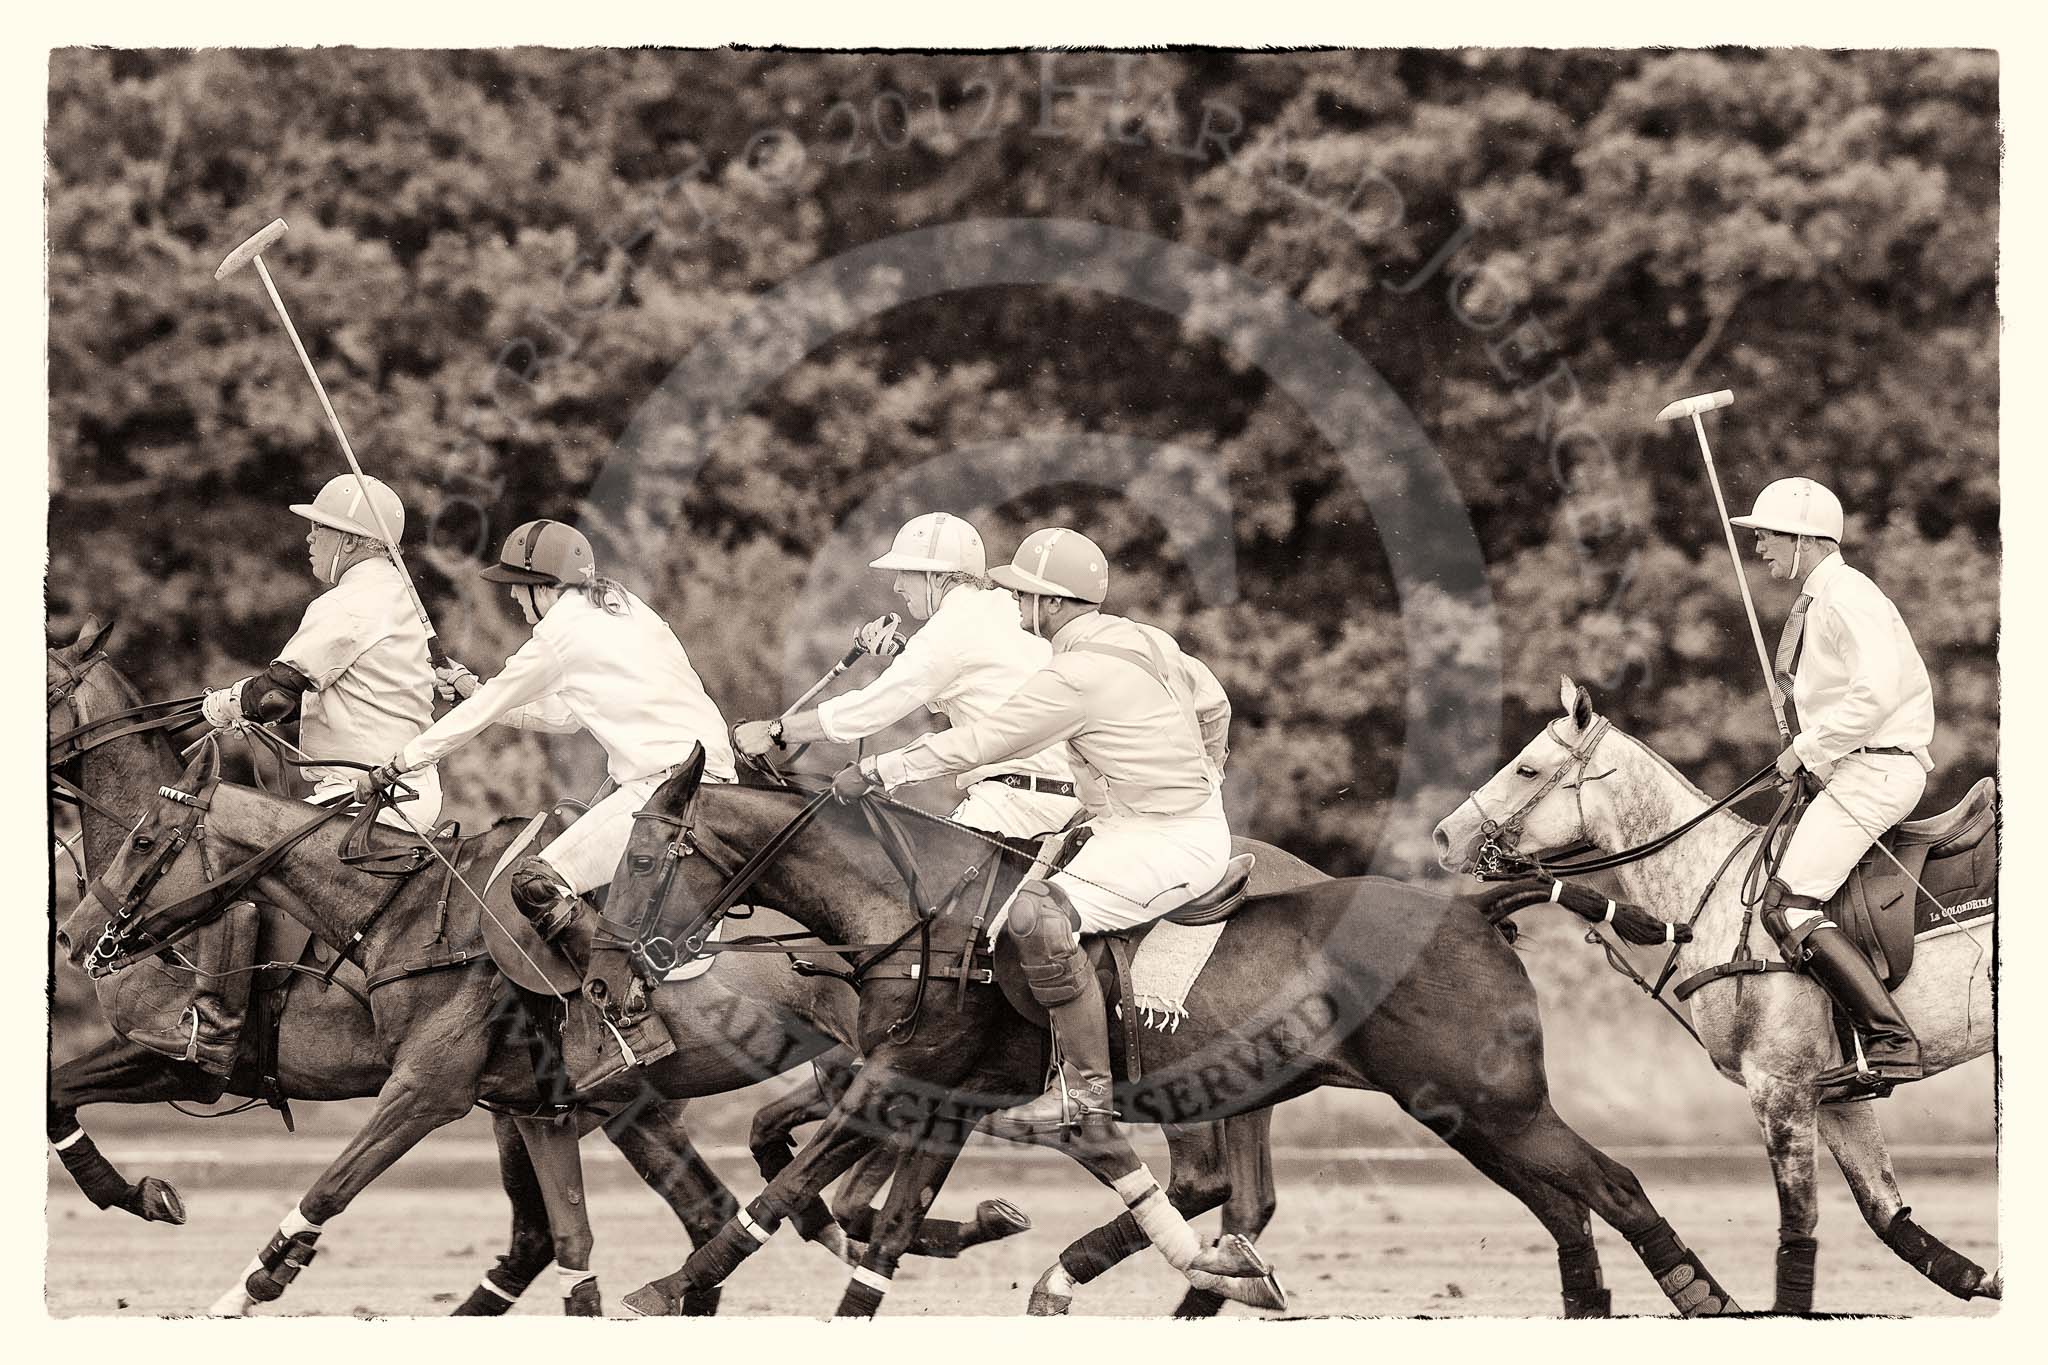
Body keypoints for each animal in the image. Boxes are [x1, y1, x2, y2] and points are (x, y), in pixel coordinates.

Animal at [610, 765, 1744, 1317]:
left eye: (642, 854)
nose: (619, 958)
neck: (916, 909)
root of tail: (1473, 903)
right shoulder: (938, 1094)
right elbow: (872, 1224)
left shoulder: (905, 1078)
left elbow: (792, 1187)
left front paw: (667, 1286)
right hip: (1465, 1112)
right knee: (1562, 1204)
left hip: (1490, 1102)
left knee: (1614, 1187)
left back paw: (1711, 1297)